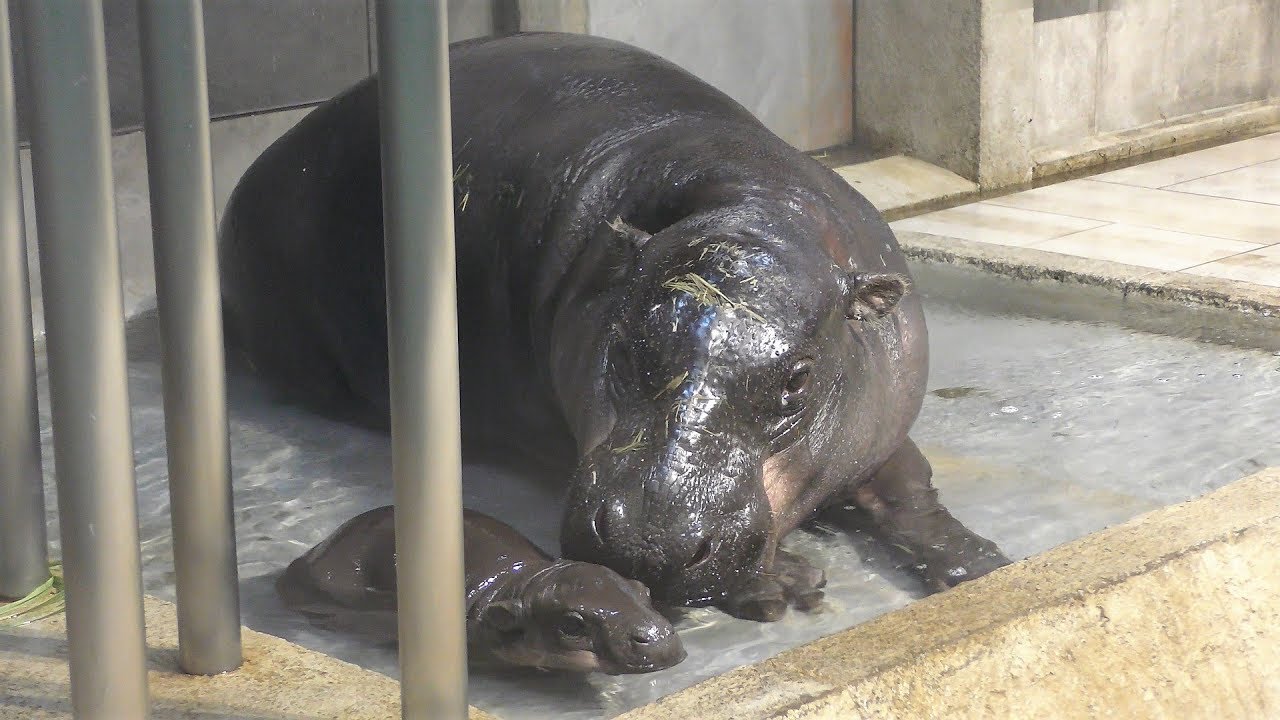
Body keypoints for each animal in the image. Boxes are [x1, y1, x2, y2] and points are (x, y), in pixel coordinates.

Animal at [220, 32, 1011, 622]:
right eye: (628, 343)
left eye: (798, 379)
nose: (646, 546)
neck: (754, 206)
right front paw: (785, 584)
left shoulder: (877, 423)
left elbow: (909, 488)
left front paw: (980, 564)